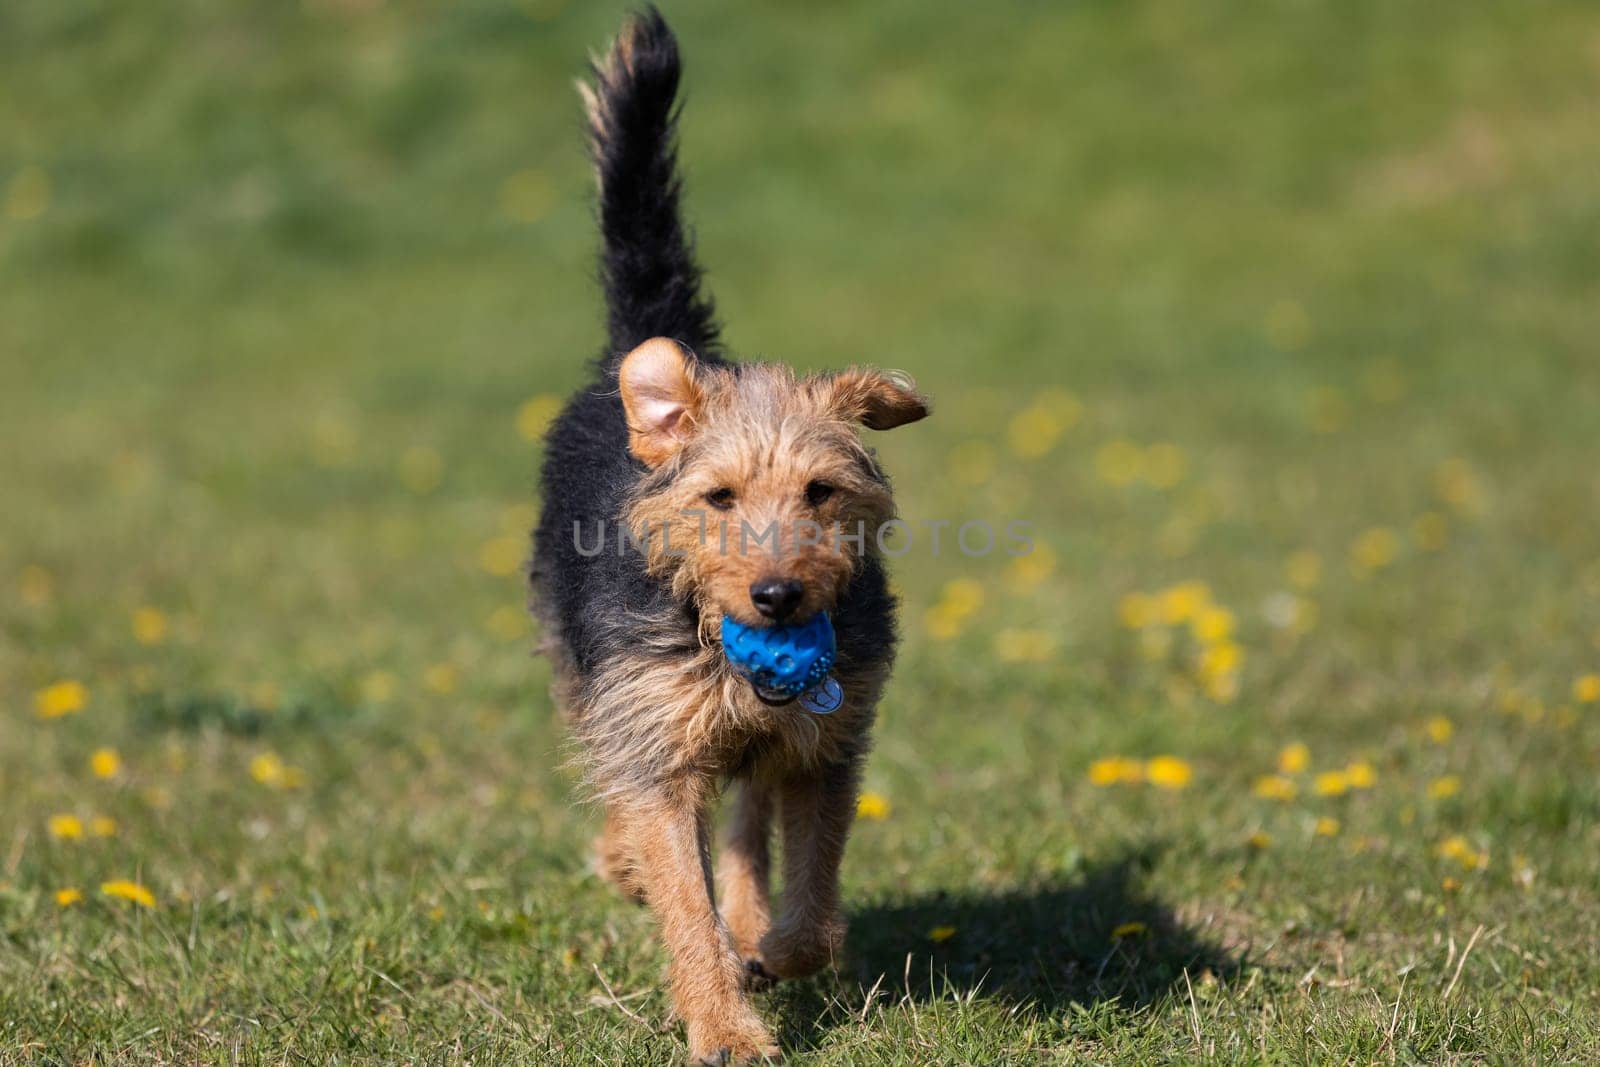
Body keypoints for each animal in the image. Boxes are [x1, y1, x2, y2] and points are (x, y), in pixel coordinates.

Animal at [534, 8, 934, 1062]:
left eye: (821, 491)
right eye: (717, 498)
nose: (778, 595)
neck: (717, 638)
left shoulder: (828, 737)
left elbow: (809, 889)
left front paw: (772, 949)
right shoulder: (655, 740)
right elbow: (682, 889)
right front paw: (724, 1025)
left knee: (751, 828)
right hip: (577, 665)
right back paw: (627, 863)